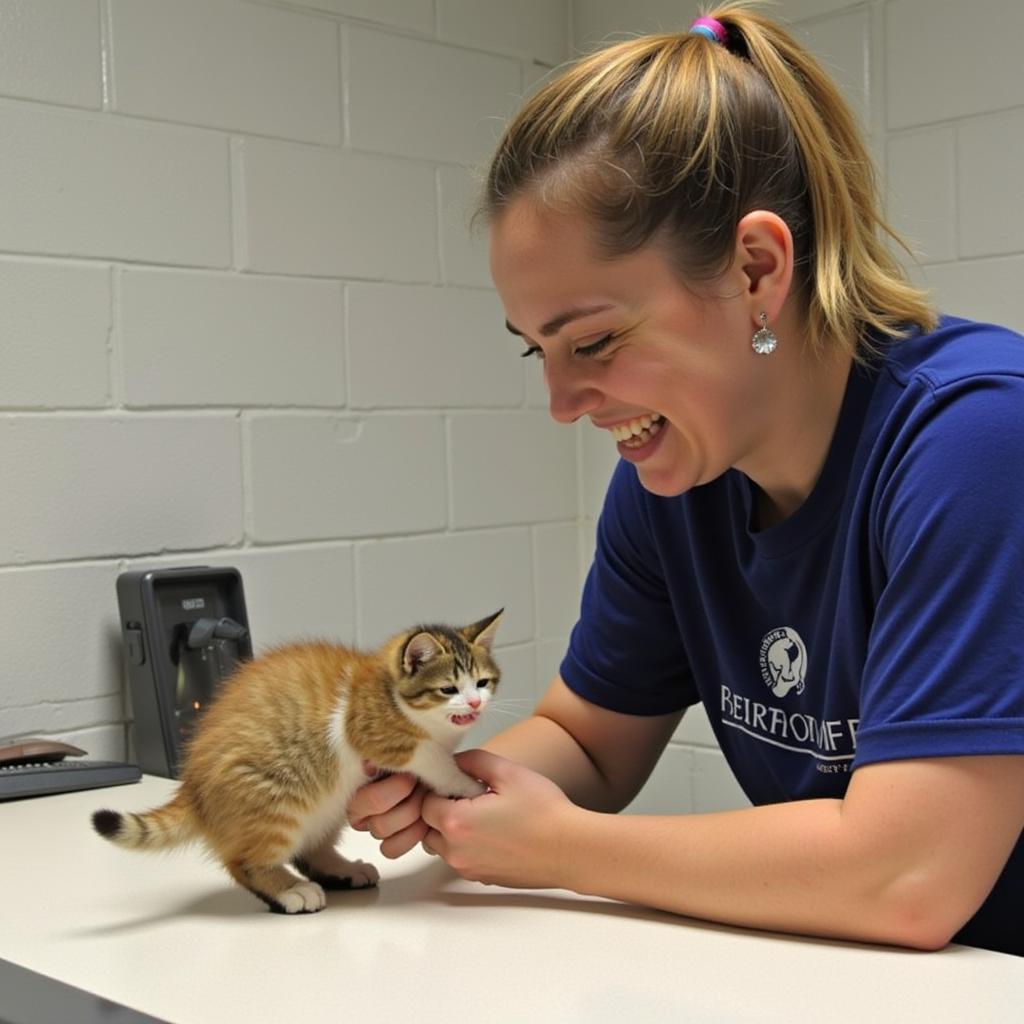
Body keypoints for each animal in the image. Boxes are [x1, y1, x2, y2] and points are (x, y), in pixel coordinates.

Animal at [94, 606, 501, 913]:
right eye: (448, 689)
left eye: (482, 683)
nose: (474, 703)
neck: (389, 692)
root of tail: (192, 787)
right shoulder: (374, 733)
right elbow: (432, 759)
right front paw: (466, 784)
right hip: (275, 799)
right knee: (243, 861)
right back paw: (289, 890)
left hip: (328, 808)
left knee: (310, 848)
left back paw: (342, 870)